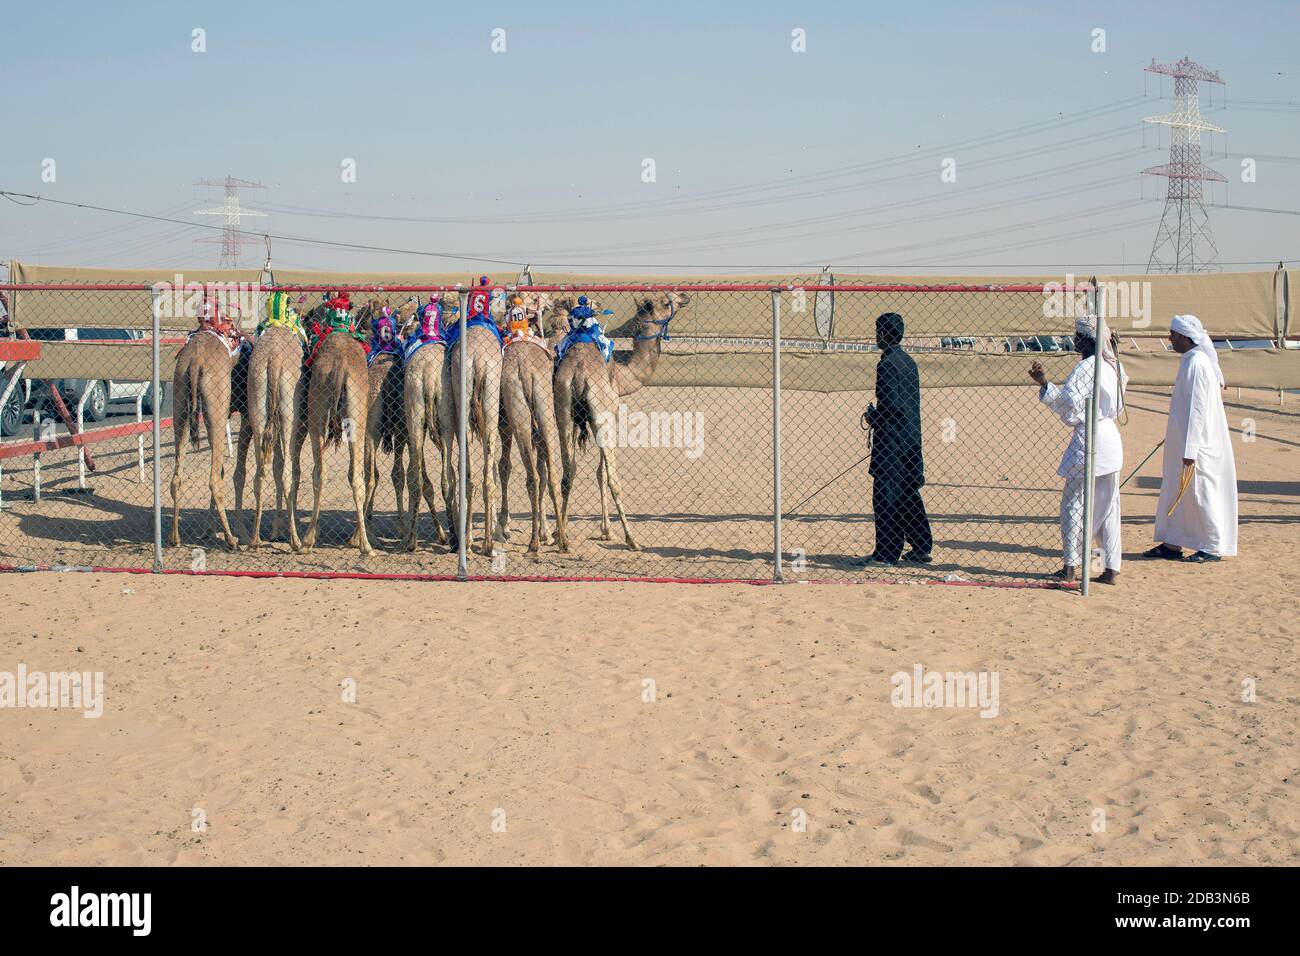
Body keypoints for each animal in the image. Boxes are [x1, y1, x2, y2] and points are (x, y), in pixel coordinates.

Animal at [169, 330, 247, 551]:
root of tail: (195, 360)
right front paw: (243, 535)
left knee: (176, 479)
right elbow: (239, 472)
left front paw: (209, 530)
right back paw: (231, 540)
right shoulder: (247, 415)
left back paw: (174, 538)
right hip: (216, 405)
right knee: (214, 480)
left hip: (180, 401)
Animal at [495, 292, 568, 553]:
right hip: (544, 407)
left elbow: (504, 467)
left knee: (532, 476)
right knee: (550, 474)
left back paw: (534, 542)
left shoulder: (504, 423)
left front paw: (503, 527)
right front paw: (547, 532)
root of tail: (524, 369)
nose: (553, 301)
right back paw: (562, 540)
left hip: (519, 414)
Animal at [552, 291, 688, 551]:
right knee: (613, 479)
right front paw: (607, 531)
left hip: (562, 411)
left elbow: (579, 471)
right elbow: (602, 473)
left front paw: (559, 530)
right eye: (666, 302)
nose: (684, 296)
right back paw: (632, 539)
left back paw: (562, 540)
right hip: (601, 416)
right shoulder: (609, 417)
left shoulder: (576, 420)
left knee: (565, 474)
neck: (624, 374)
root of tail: (579, 372)